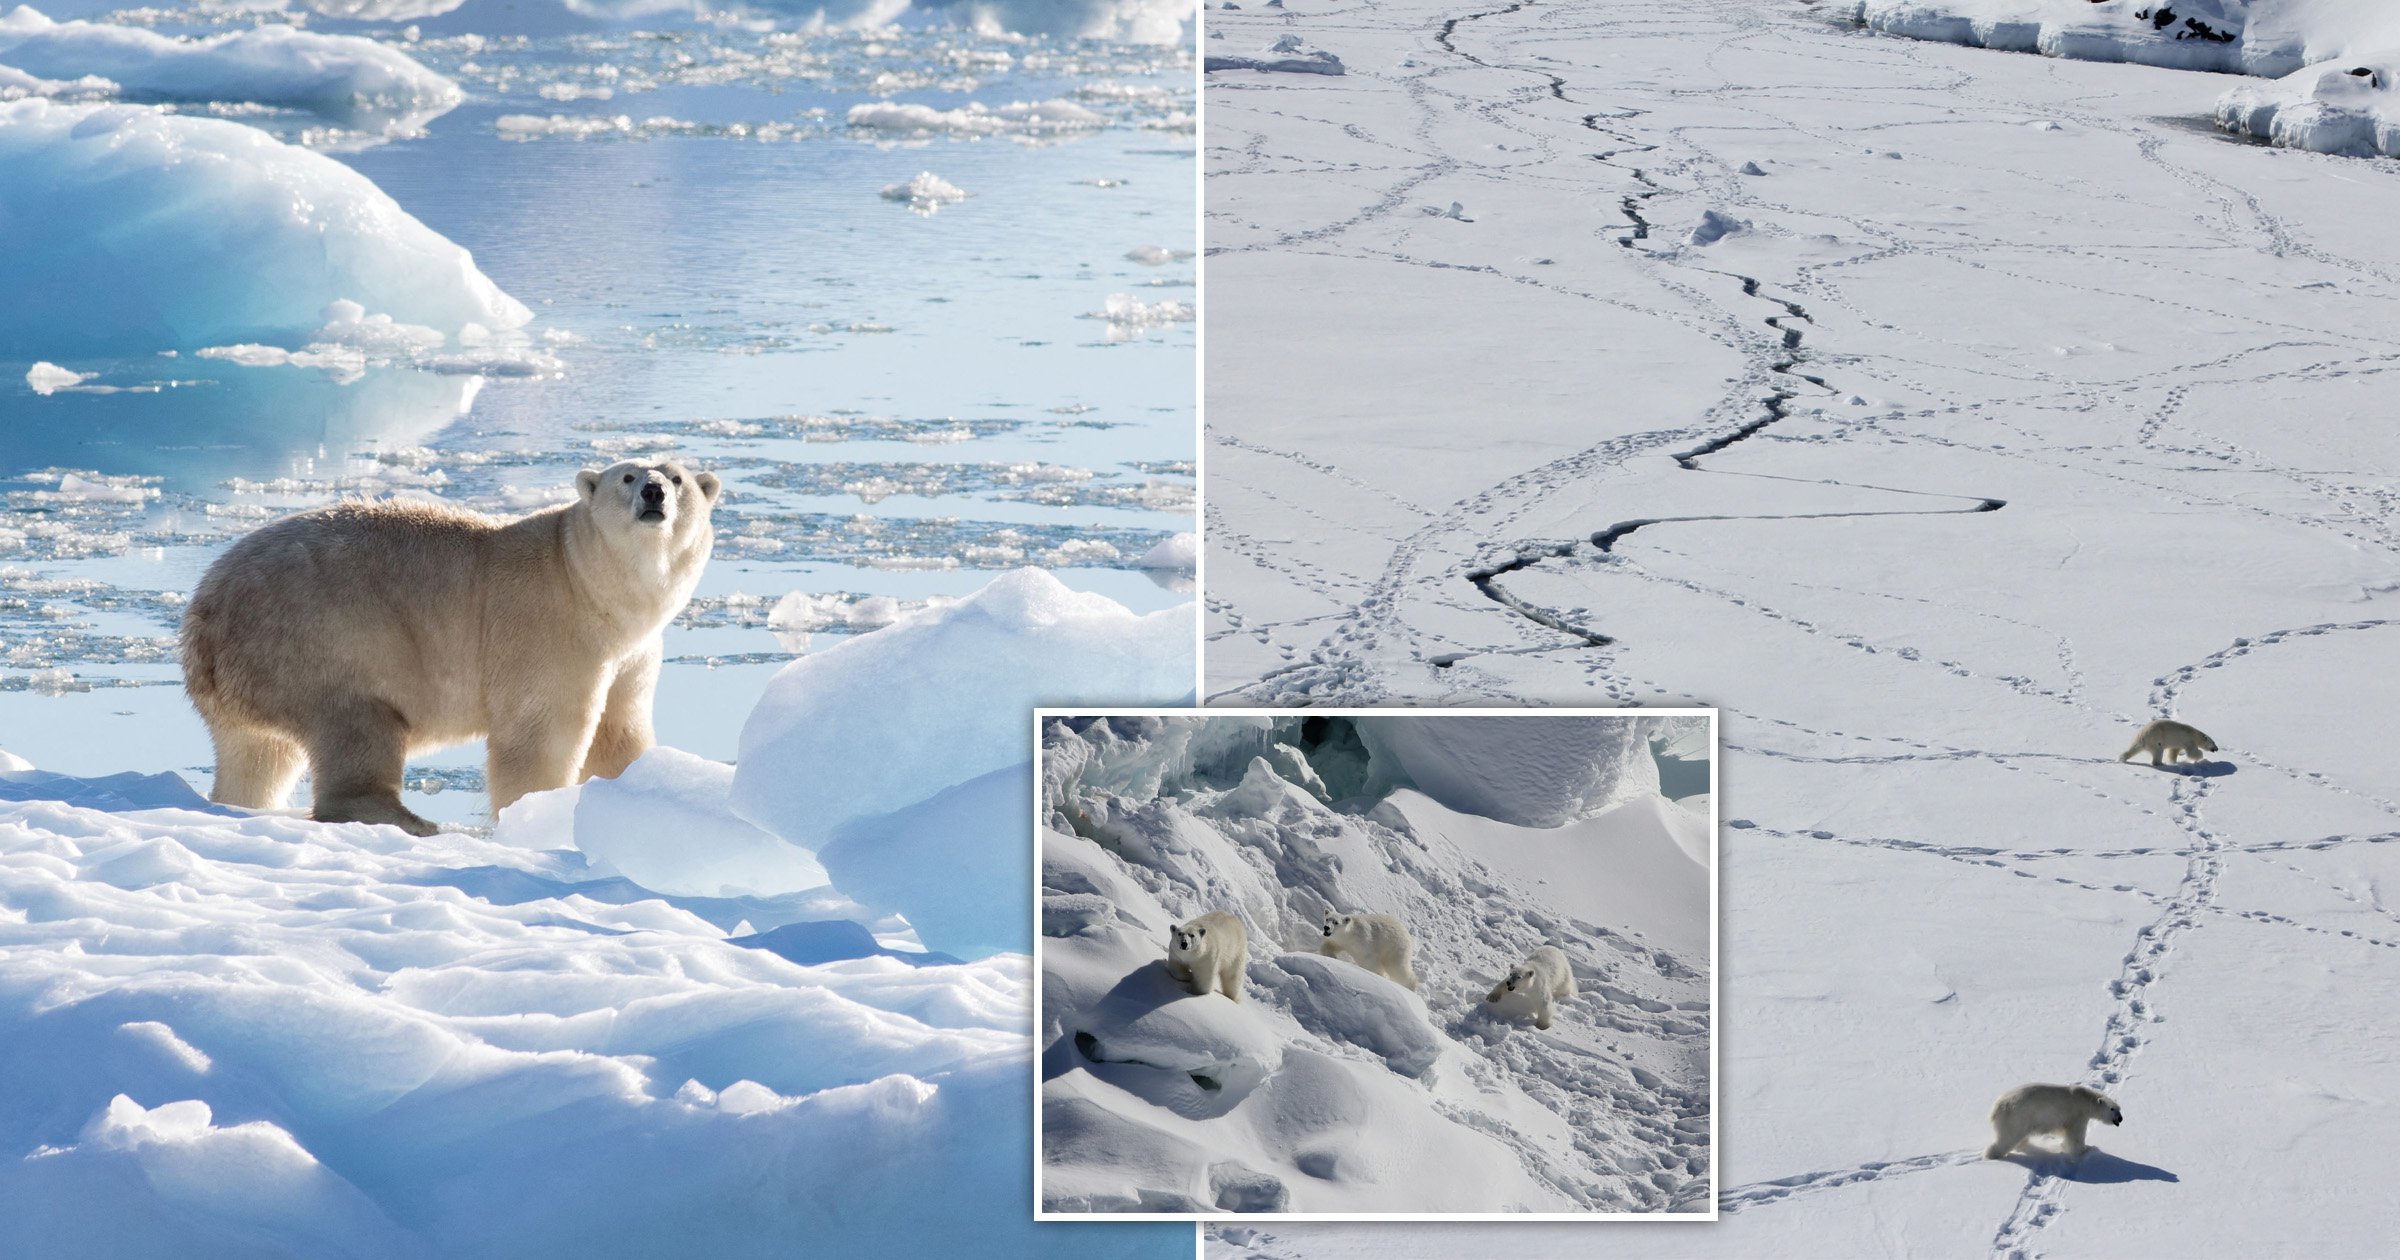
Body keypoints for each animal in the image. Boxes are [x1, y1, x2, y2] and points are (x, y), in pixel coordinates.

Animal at [182, 458, 715, 835]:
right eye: (626, 475)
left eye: (678, 477)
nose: (653, 491)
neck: (586, 581)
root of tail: (203, 614)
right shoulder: (548, 627)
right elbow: (541, 734)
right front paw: (537, 814)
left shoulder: (633, 652)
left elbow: (618, 731)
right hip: (322, 637)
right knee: (357, 723)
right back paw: (411, 820)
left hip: (254, 676)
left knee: (256, 755)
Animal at [1987, 1080, 2121, 1161]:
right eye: (2112, 1109)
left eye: (2119, 1109)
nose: (2120, 1118)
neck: (2085, 1101)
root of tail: (1995, 1108)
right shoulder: (2077, 1115)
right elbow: (2076, 1136)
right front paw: (2086, 1150)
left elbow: (2064, 1132)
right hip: (2016, 1117)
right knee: (2008, 1138)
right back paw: (1992, 1155)